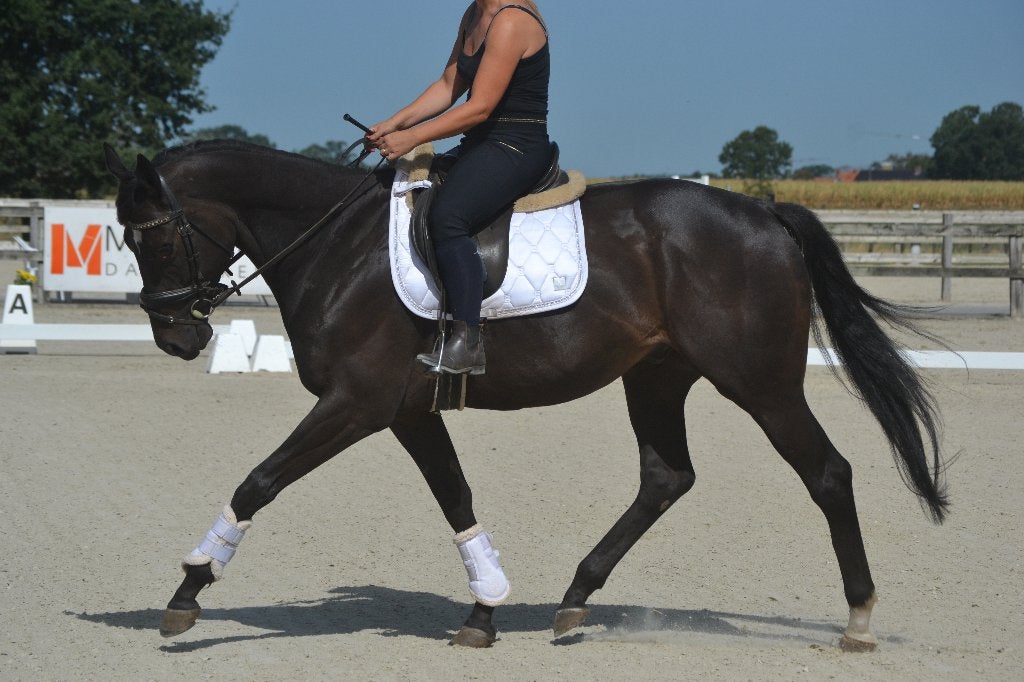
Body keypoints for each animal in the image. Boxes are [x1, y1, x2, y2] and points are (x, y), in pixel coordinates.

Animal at [103, 139, 947, 651]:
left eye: (151, 234)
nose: (177, 337)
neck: (334, 245)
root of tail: (764, 212)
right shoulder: (405, 411)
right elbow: (456, 496)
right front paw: (484, 608)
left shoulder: (356, 403)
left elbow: (259, 481)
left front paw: (189, 591)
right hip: (657, 374)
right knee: (666, 476)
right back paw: (575, 597)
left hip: (759, 381)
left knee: (827, 473)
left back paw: (858, 618)